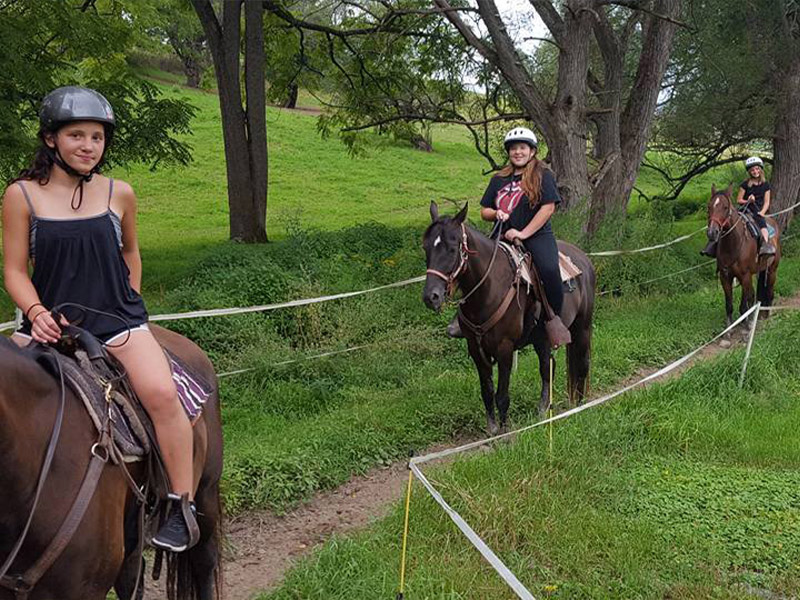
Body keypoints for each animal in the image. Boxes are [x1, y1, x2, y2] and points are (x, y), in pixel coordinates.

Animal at [422, 204, 596, 434]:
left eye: (452, 248)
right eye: (426, 248)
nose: (431, 296)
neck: (489, 288)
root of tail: (584, 259)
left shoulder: (504, 348)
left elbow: (502, 396)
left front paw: (505, 434)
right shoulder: (475, 349)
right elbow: (487, 393)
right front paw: (492, 430)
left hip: (582, 328)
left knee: (582, 365)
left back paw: (580, 407)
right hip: (542, 339)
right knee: (548, 367)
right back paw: (543, 410)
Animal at [708, 185, 780, 328]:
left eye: (725, 207)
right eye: (709, 206)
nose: (712, 232)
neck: (733, 244)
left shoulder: (745, 276)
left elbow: (744, 304)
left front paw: (747, 324)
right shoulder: (725, 277)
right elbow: (729, 305)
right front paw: (730, 327)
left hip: (772, 270)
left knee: (769, 292)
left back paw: (767, 315)